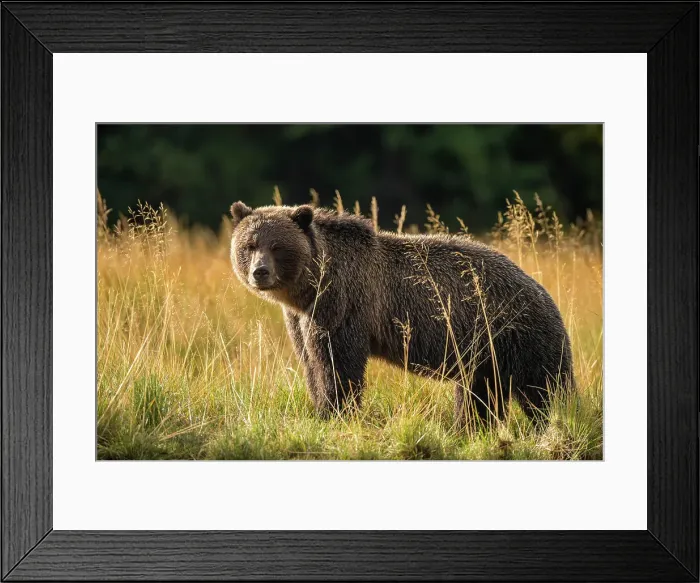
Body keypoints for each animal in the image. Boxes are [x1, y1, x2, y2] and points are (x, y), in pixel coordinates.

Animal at [229, 201, 574, 428]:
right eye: (249, 245)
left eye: (277, 246)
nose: (260, 272)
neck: (309, 288)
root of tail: (543, 292)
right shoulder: (301, 318)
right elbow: (311, 363)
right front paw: (321, 409)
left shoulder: (344, 306)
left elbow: (337, 364)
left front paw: (336, 412)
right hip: (486, 355)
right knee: (480, 395)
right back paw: (471, 428)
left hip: (519, 335)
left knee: (546, 388)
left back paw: (558, 420)